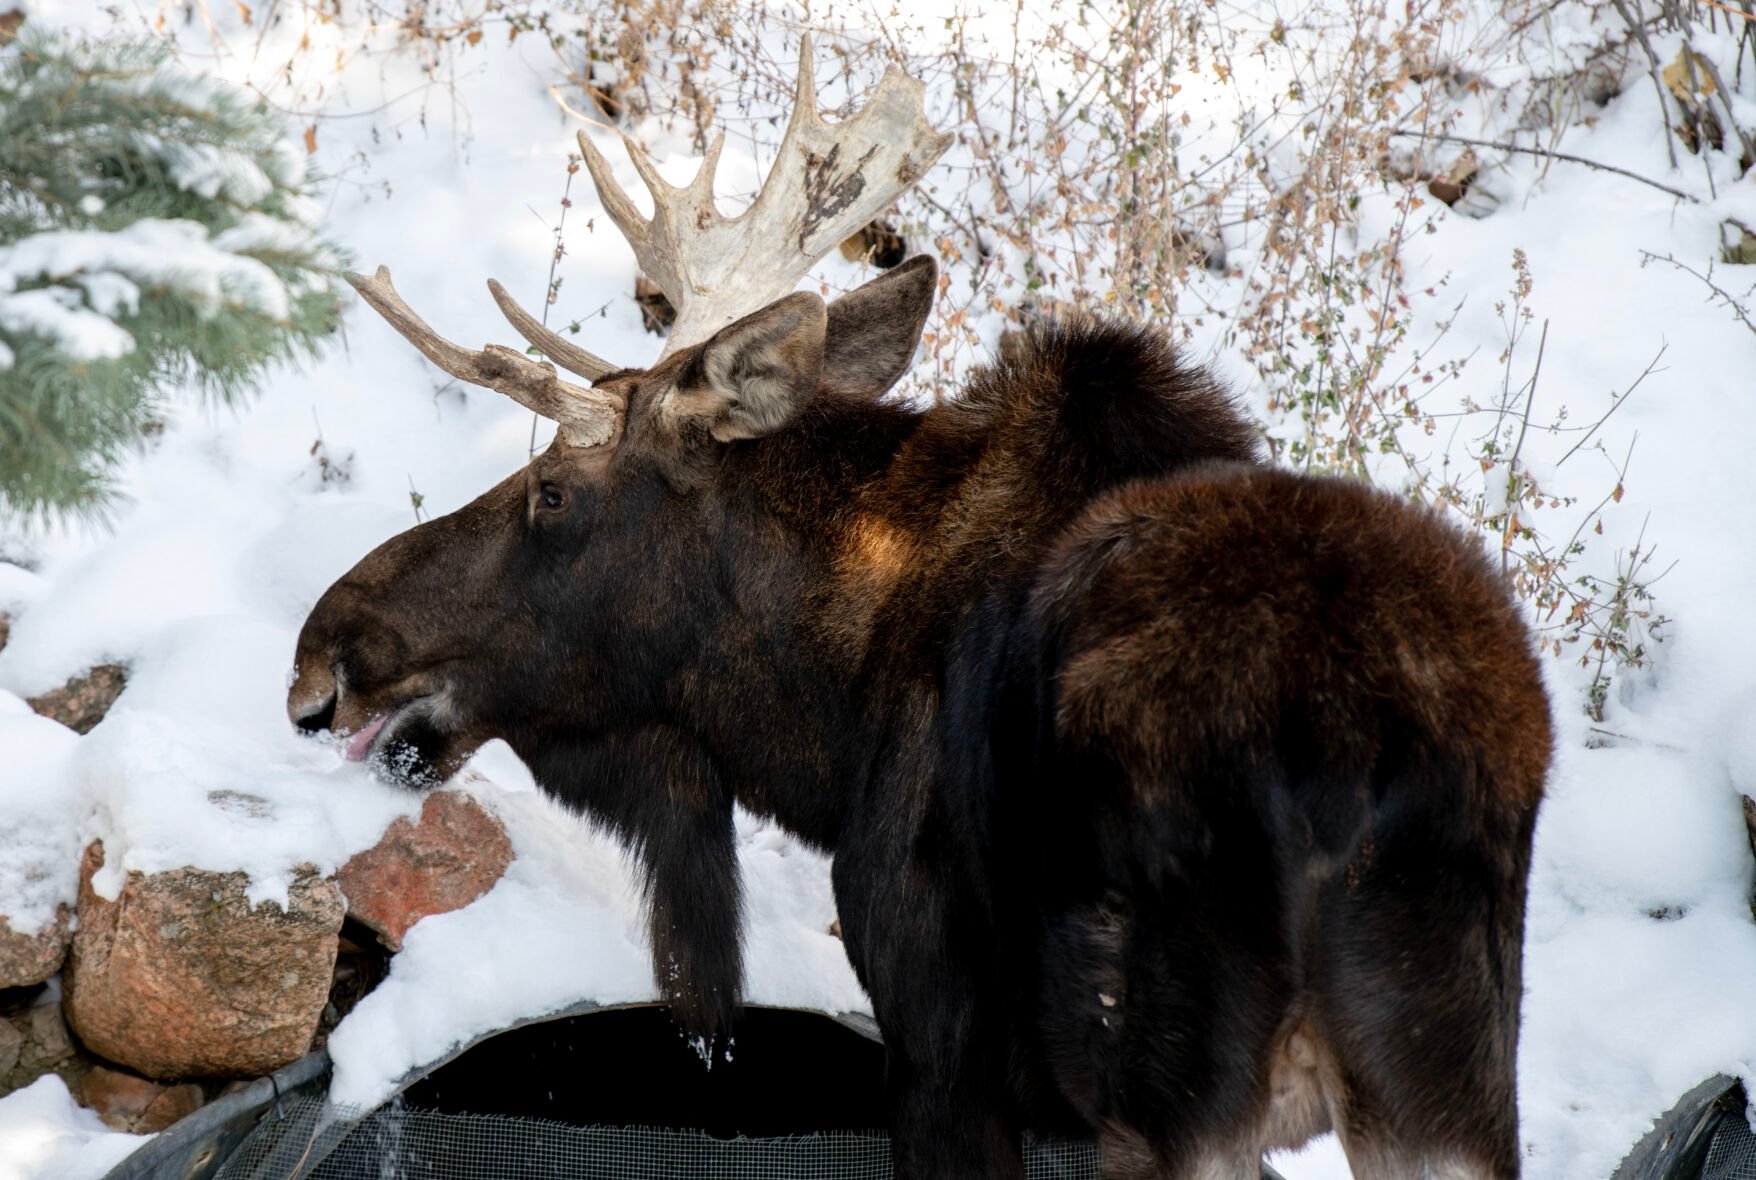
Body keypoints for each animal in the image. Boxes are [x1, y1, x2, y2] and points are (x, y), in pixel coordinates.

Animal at [289, 37, 1551, 1180]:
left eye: (552, 489)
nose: (321, 661)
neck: (824, 717)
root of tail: (1368, 750)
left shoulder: (943, 1044)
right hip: (1442, 1088)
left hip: (1173, 1091)